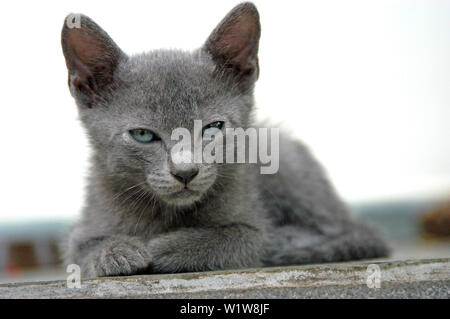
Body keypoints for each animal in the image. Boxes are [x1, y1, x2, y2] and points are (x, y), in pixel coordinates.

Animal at [59, 1, 388, 278]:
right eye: (143, 134)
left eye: (213, 128)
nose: (185, 172)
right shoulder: (88, 221)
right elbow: (82, 246)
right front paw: (116, 253)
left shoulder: (252, 224)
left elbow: (238, 237)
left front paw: (170, 247)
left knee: (350, 231)